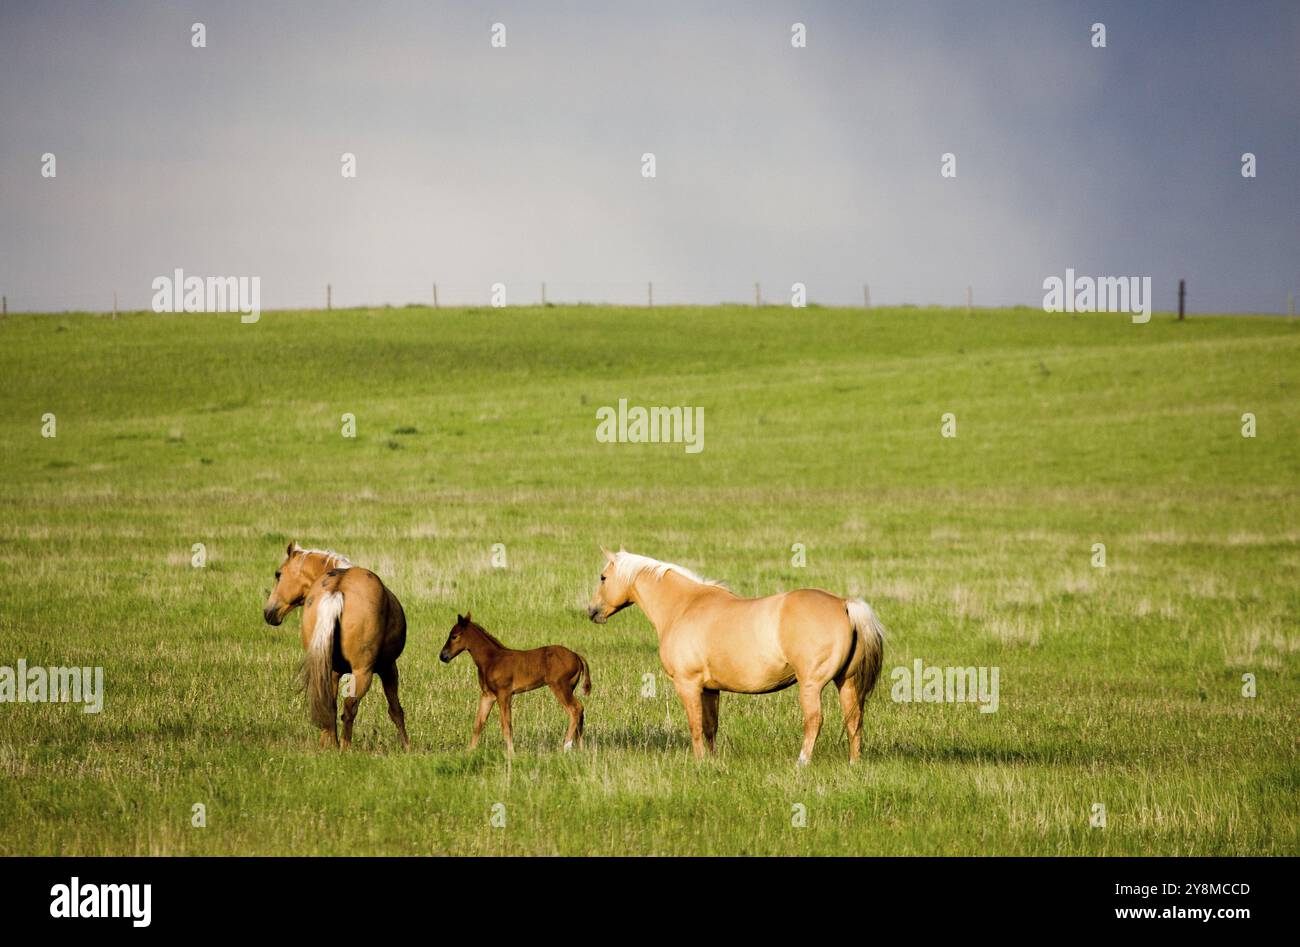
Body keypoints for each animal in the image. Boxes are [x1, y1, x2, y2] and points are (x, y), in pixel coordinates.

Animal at [262, 543, 405, 749]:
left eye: (278, 574)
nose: (268, 612)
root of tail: (337, 589)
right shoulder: (388, 667)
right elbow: (395, 710)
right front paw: (407, 746)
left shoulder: (334, 671)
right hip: (363, 672)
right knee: (350, 707)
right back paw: (345, 748)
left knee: (328, 705)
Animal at [441, 613, 595, 754]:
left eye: (454, 636)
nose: (443, 656)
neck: (491, 659)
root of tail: (576, 656)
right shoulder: (488, 695)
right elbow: (479, 723)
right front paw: (469, 752)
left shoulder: (504, 694)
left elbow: (506, 724)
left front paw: (511, 753)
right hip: (569, 687)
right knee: (580, 709)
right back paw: (581, 749)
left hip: (560, 687)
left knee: (575, 709)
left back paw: (566, 746)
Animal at [587, 546, 883, 759]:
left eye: (603, 577)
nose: (592, 611)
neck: (684, 606)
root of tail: (844, 604)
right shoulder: (710, 689)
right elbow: (710, 727)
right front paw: (712, 761)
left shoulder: (687, 684)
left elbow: (695, 726)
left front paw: (699, 762)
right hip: (847, 682)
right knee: (854, 721)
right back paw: (853, 763)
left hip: (811, 685)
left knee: (814, 721)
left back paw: (802, 762)